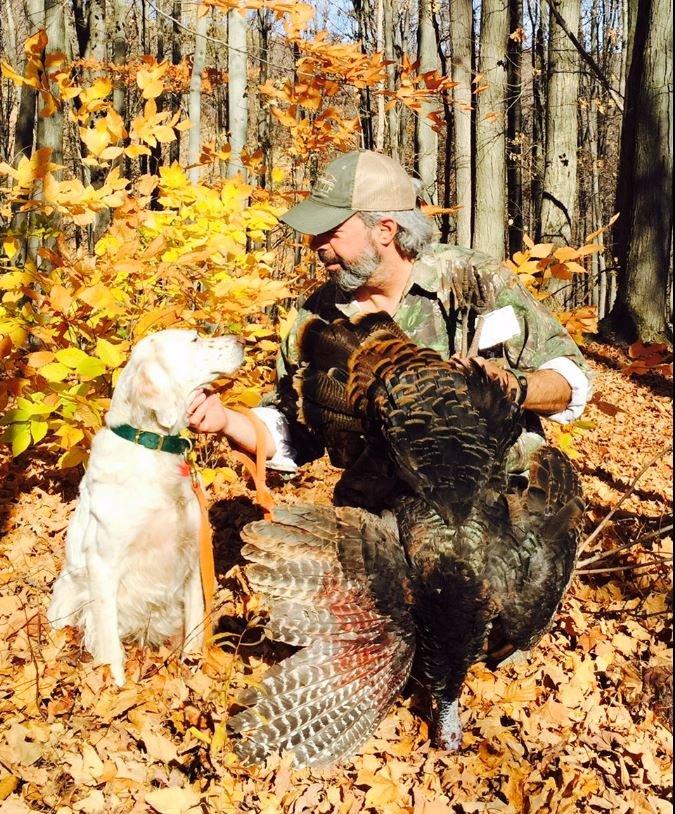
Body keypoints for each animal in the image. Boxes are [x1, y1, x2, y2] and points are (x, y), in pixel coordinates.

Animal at [47, 328, 244, 684]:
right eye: (194, 340)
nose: (241, 342)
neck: (153, 447)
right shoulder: (103, 564)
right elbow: (110, 647)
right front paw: (116, 686)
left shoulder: (190, 554)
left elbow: (196, 624)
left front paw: (193, 669)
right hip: (67, 598)